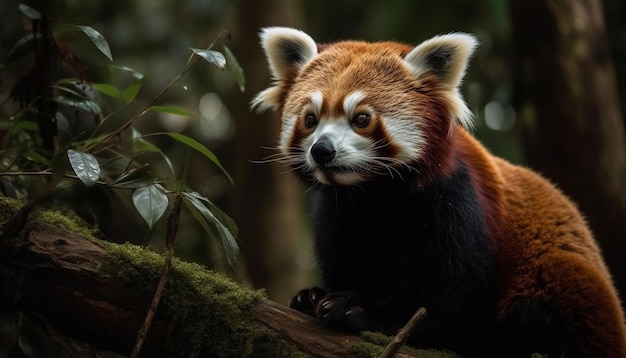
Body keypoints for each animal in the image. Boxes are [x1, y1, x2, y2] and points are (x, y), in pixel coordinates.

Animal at [250, 26, 624, 356]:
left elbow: (449, 297)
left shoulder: (455, 199)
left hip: (562, 281)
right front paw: (312, 297)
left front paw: (360, 310)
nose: (322, 151)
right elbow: (350, 261)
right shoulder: (339, 213)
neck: (375, 194)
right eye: (310, 120)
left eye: (361, 119)